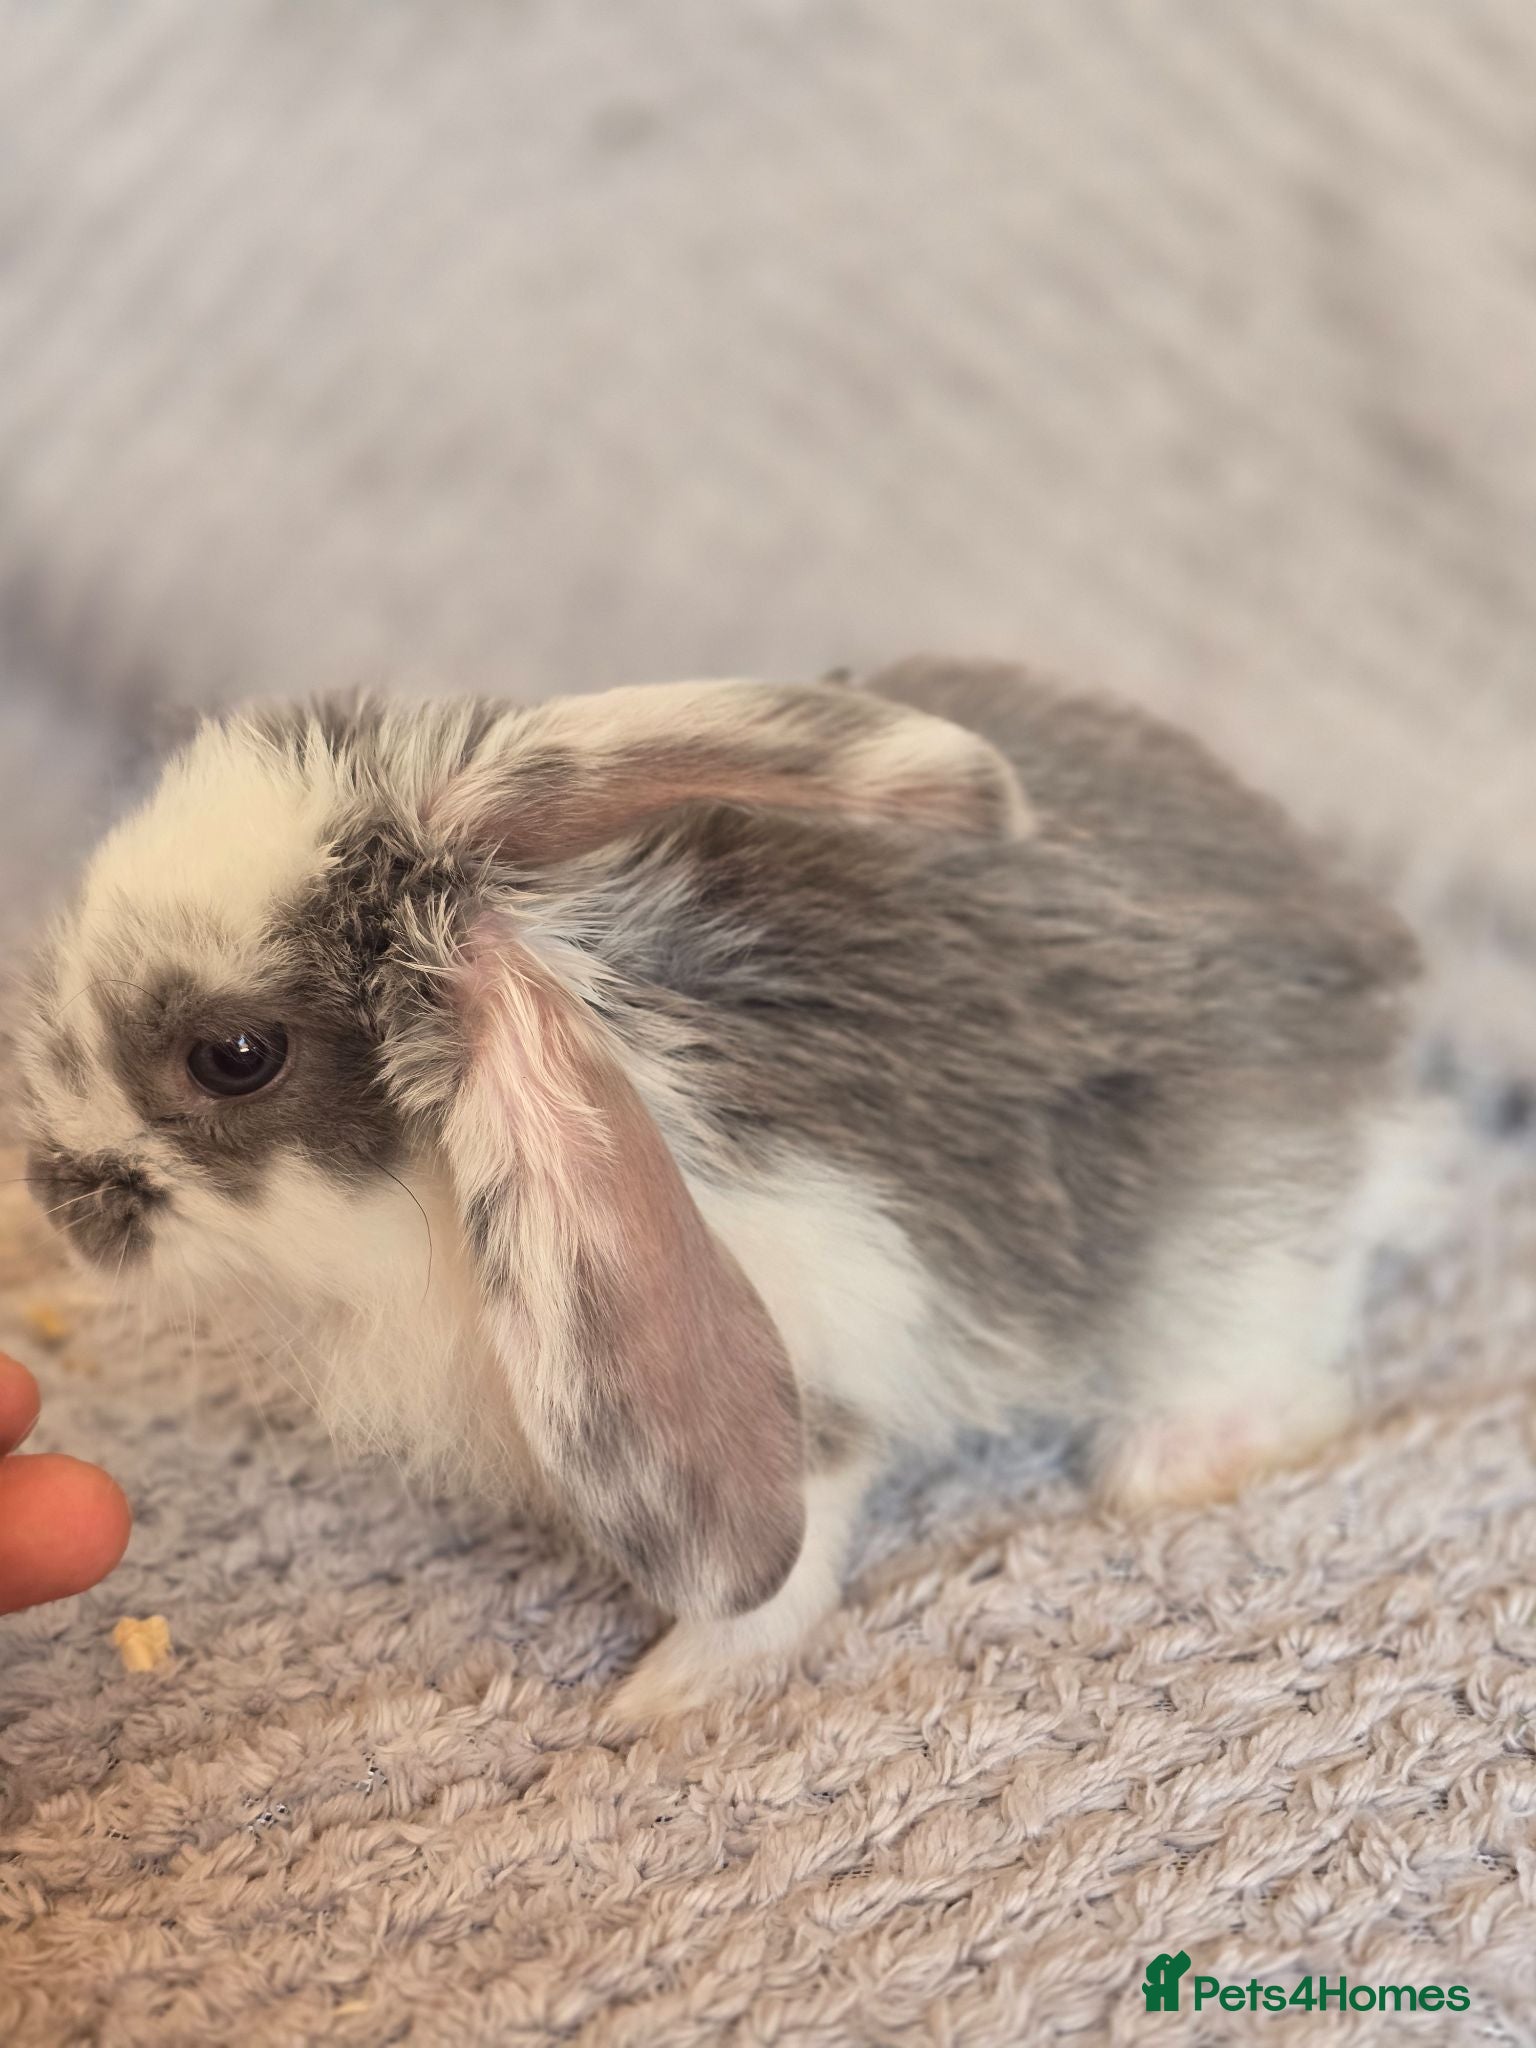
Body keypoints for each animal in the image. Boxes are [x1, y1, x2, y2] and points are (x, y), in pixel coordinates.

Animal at [17, 657, 1423, 1720]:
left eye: (233, 1055)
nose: (55, 1199)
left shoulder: (811, 1376)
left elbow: (788, 1565)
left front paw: (661, 1700)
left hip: (1233, 1258)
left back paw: (1172, 1461)